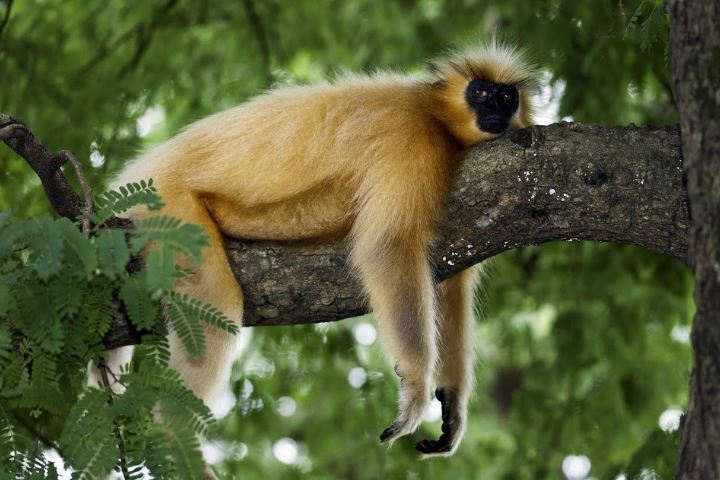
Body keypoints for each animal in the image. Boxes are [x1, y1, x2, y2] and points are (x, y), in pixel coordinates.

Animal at [94, 41, 536, 458]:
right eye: (480, 92)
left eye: (506, 96)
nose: (496, 109)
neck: (434, 117)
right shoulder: (410, 140)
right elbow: (387, 248)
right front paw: (414, 390)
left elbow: (448, 281)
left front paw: (452, 403)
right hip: (167, 205)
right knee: (216, 305)